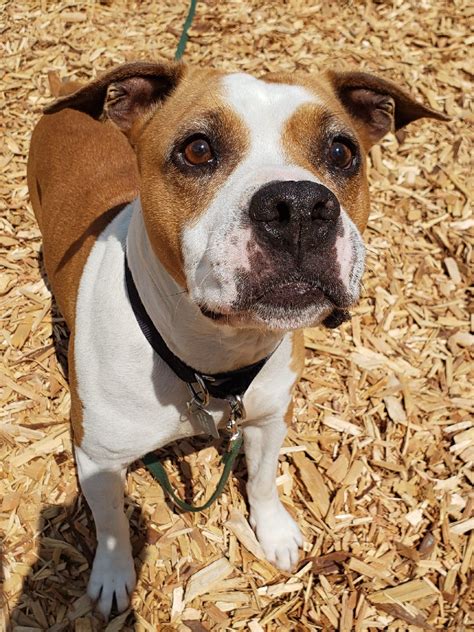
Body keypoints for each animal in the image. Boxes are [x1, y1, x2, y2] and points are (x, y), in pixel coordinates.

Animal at [26, 60, 448, 616]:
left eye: (341, 152)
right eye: (197, 149)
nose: (299, 205)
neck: (208, 360)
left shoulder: (270, 418)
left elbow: (264, 479)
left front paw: (273, 533)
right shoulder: (98, 457)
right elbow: (112, 520)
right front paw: (114, 576)